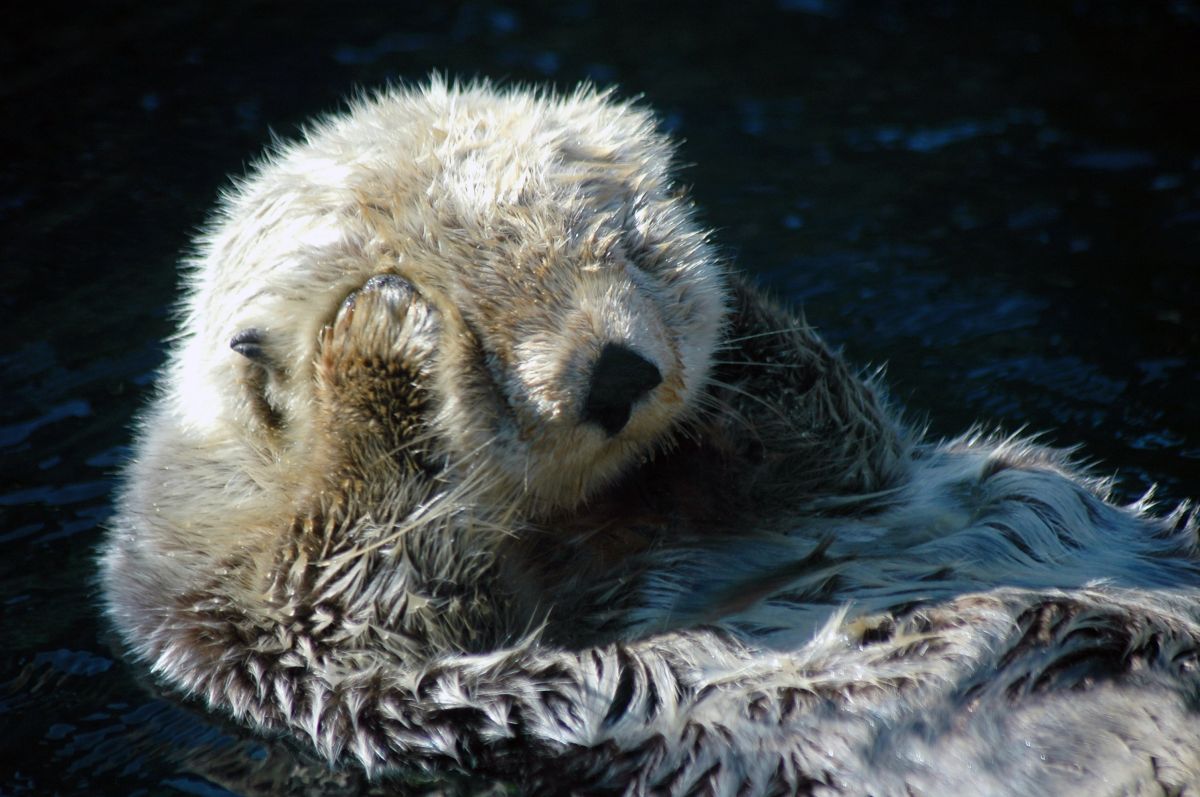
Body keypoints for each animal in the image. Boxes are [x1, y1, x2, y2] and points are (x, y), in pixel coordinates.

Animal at [102, 80, 1200, 795]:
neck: (608, 521)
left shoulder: (841, 486)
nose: (618, 368)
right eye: (480, 335)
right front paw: (382, 333)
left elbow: (827, 430)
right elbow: (360, 574)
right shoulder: (272, 631)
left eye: (626, 247)